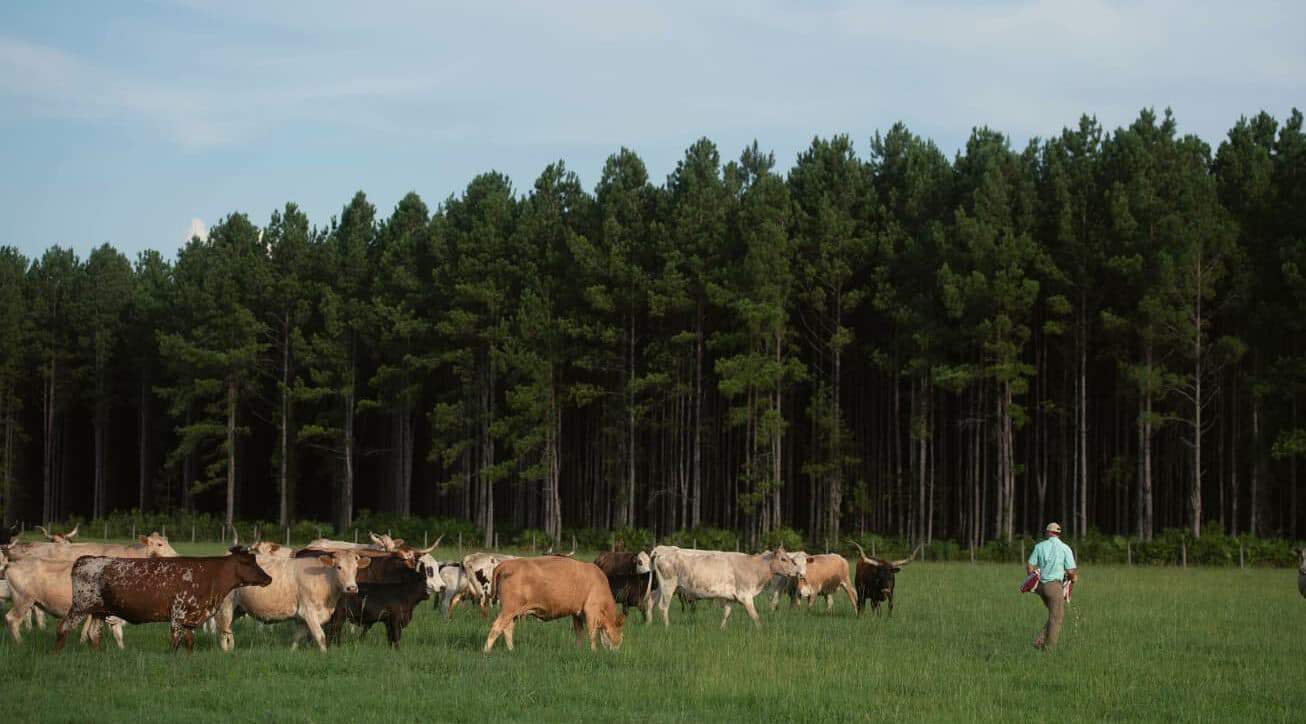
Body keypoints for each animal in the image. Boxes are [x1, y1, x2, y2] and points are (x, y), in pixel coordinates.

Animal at [55, 547, 273, 653]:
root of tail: (85, 559)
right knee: (63, 627)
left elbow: (190, 643)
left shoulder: (190, 618)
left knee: (94, 634)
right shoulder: (177, 616)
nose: (268, 578)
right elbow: (175, 643)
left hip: (99, 611)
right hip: (80, 606)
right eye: (248, 562)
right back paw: (57, 655)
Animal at [215, 549, 371, 652]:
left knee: (228, 630)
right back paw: (225, 652)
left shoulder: (303, 618)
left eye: (356, 568)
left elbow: (296, 637)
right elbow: (320, 636)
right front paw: (325, 656)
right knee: (223, 631)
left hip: (238, 608)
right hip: (226, 606)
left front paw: (291, 652)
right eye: (339, 567)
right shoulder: (309, 611)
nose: (352, 588)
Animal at [484, 556, 625, 653]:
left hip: (514, 611)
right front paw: (594, 652)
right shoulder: (591, 611)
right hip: (509, 608)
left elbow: (579, 634)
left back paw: (511, 650)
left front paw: (579, 651)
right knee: (497, 626)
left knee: (507, 629)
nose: (616, 652)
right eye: (621, 638)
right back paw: (486, 652)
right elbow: (592, 634)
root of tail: (506, 563)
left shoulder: (576, 613)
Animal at [649, 545, 800, 629]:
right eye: (783, 559)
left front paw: (721, 629)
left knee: (651, 601)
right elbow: (755, 616)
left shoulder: (730, 598)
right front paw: (761, 631)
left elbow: (726, 614)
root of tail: (662, 549)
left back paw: (648, 623)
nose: (797, 571)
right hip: (668, 585)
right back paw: (667, 626)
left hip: (659, 587)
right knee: (663, 606)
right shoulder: (745, 595)